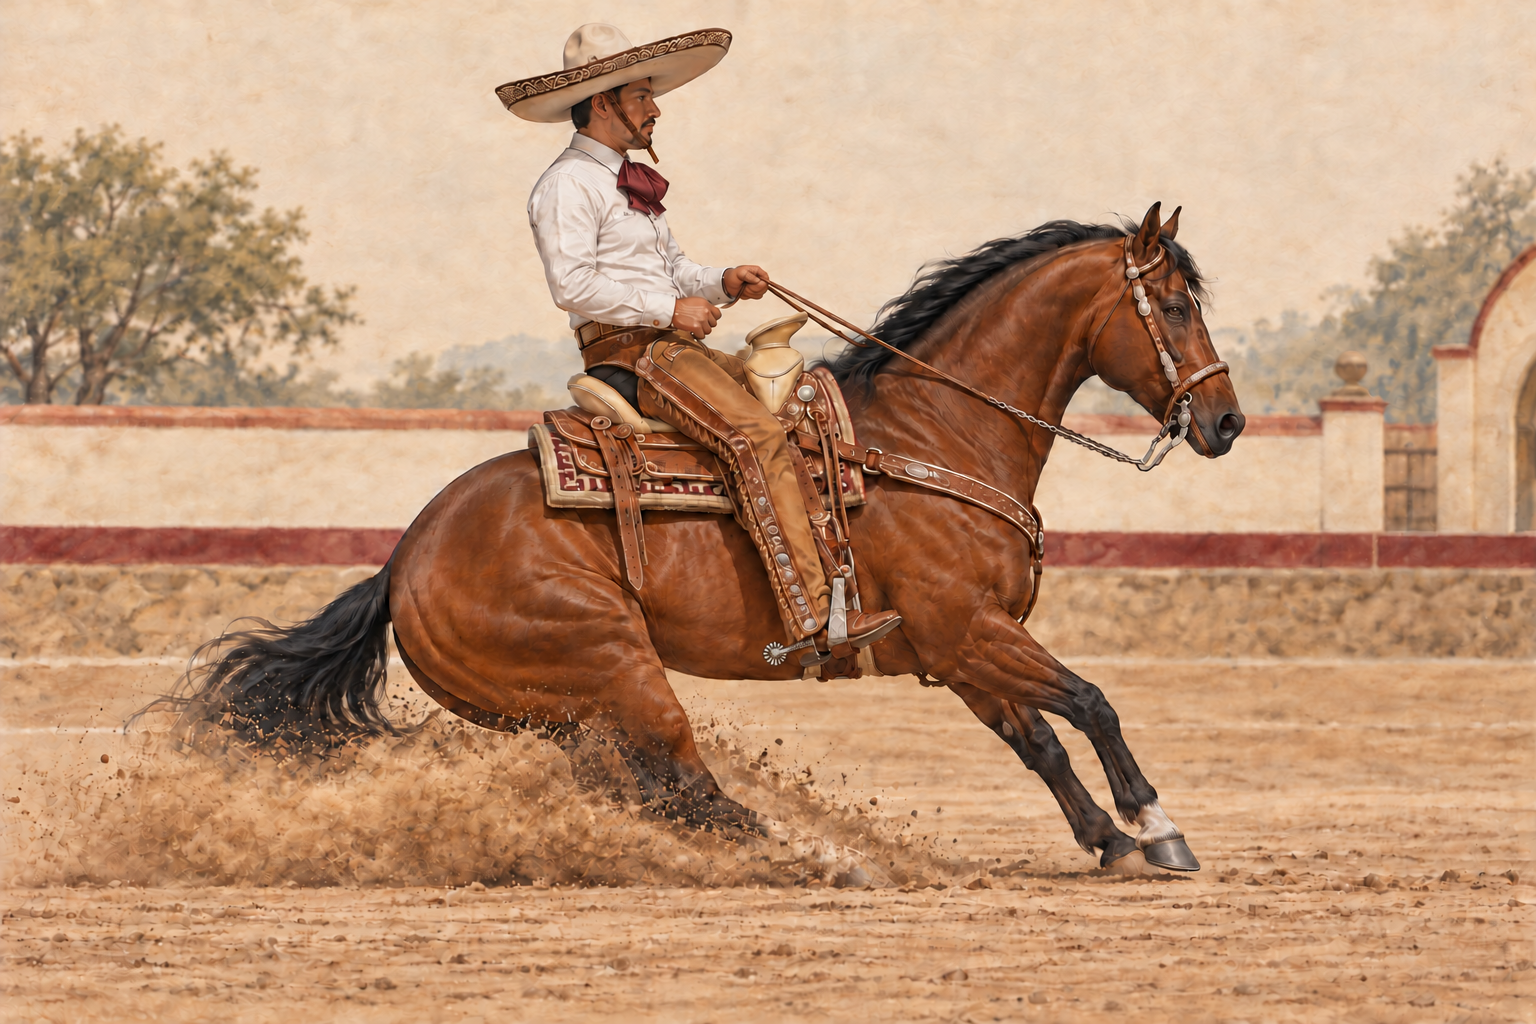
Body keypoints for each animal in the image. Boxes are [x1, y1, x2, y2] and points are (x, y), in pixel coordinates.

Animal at [174, 203, 1245, 873]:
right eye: (1175, 305)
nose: (1226, 421)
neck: (934, 436)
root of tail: (404, 559)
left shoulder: (957, 651)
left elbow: (1042, 741)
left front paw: (1109, 840)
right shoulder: (968, 629)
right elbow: (1092, 701)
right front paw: (1157, 827)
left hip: (566, 712)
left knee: (648, 793)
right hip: (618, 667)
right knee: (688, 783)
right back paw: (821, 857)